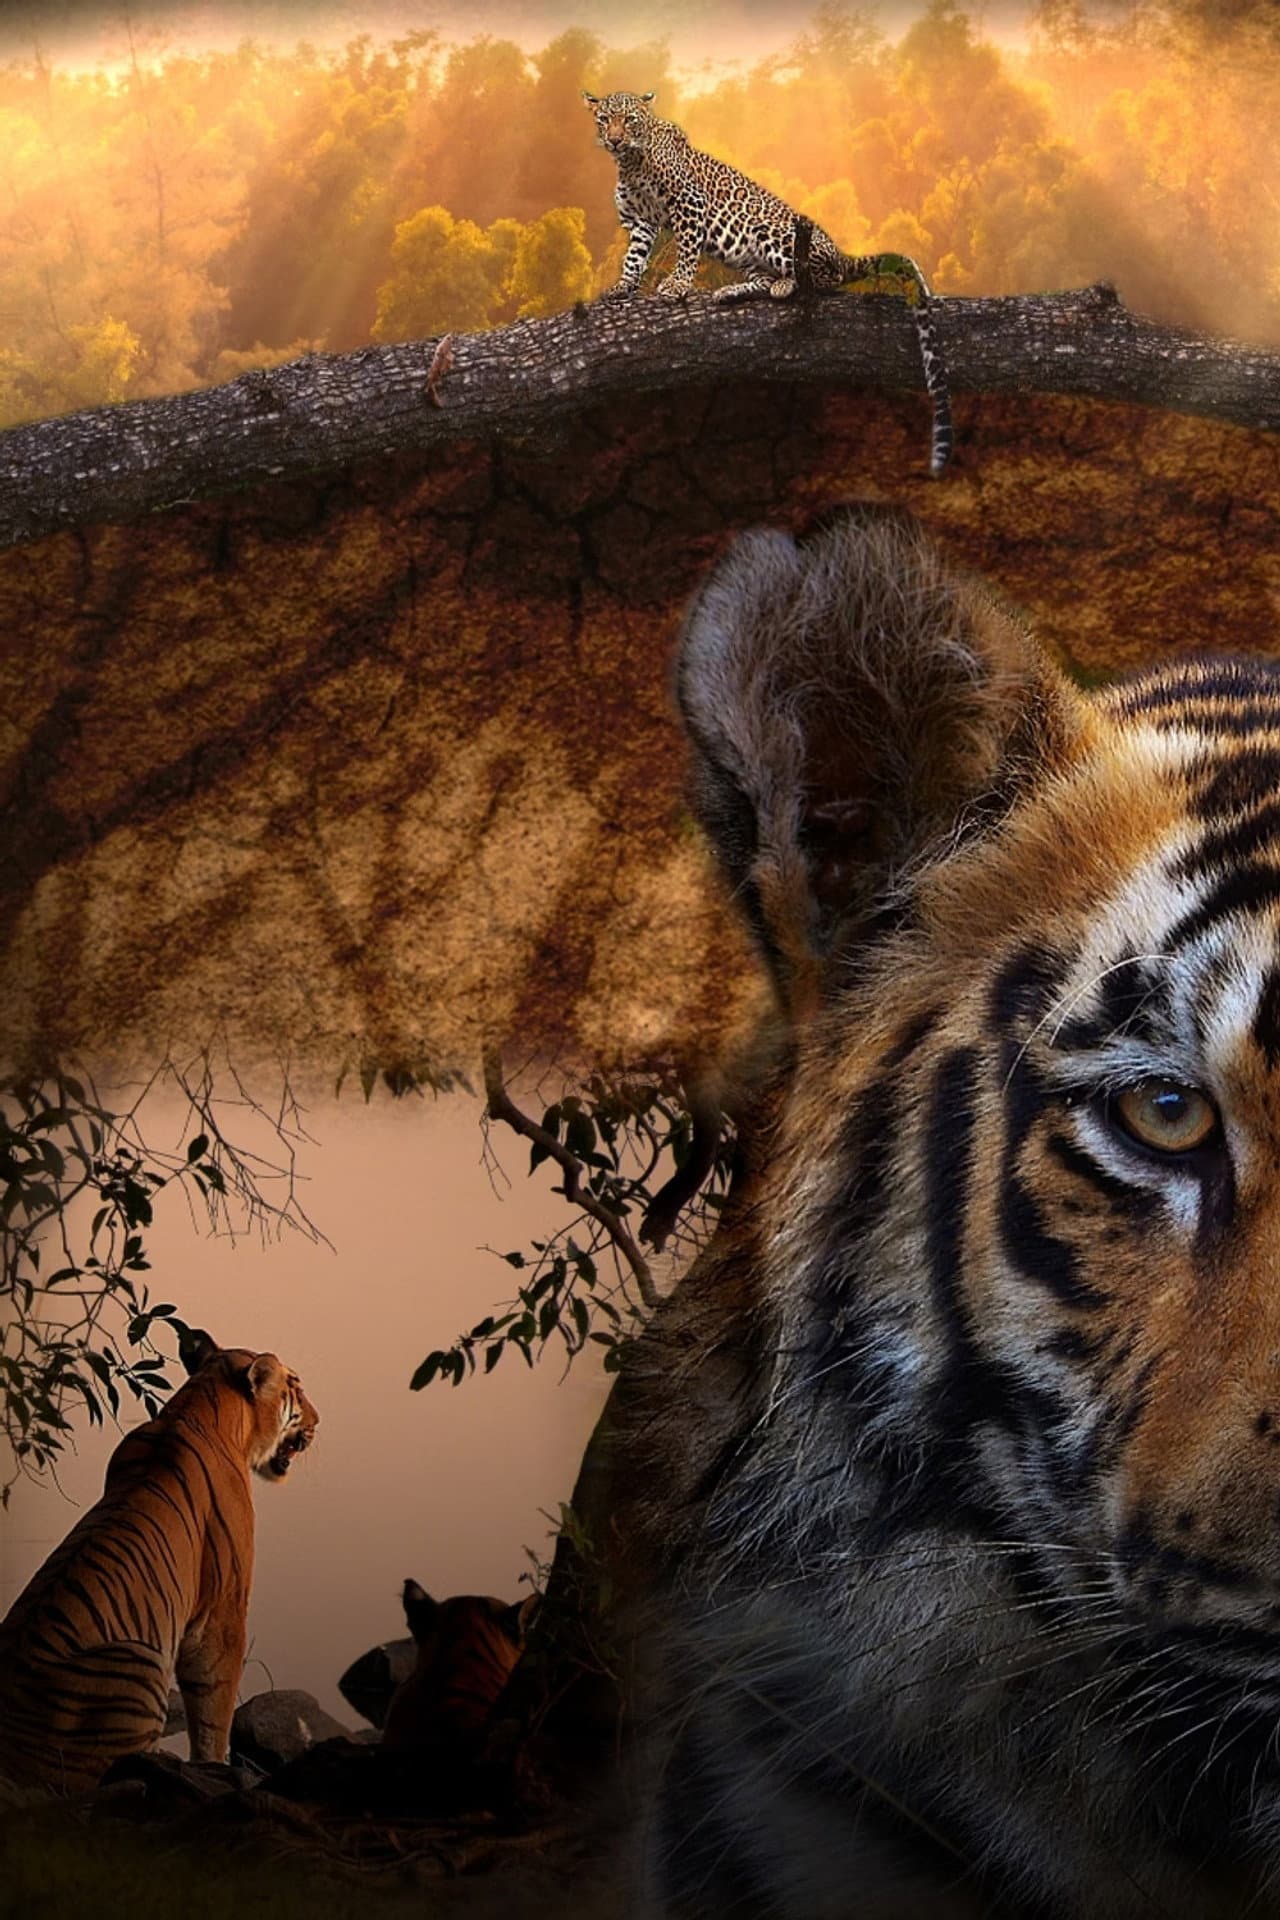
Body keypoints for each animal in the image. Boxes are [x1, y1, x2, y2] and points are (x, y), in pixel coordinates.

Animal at [0, 1328, 318, 1795]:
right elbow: (214, 1708)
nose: (318, 1420)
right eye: (295, 1386)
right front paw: (214, 1765)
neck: (200, 1405)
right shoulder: (223, 1614)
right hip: (138, 1661)